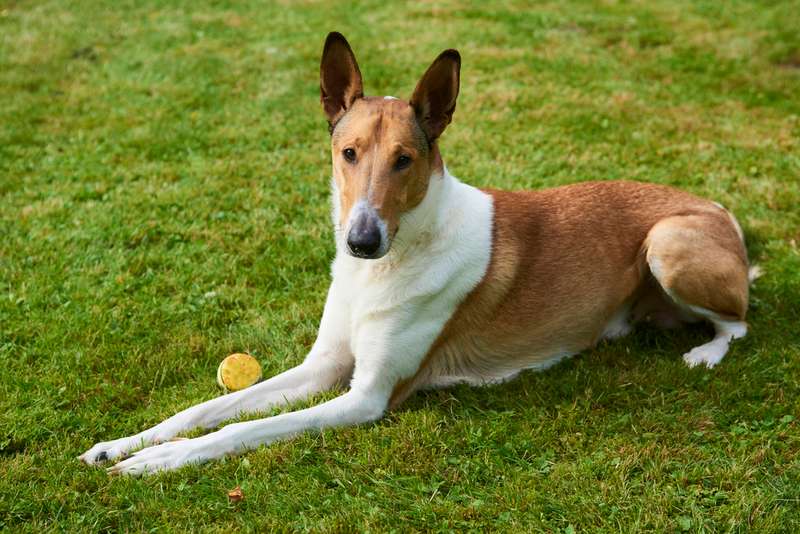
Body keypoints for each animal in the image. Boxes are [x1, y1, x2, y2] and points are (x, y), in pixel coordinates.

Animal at [81, 33, 756, 478]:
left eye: (405, 159)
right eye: (348, 153)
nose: (361, 240)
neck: (384, 268)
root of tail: (717, 206)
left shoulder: (367, 397)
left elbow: (241, 429)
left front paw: (159, 461)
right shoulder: (324, 366)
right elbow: (210, 407)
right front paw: (124, 444)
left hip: (668, 244)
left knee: (740, 323)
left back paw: (705, 352)